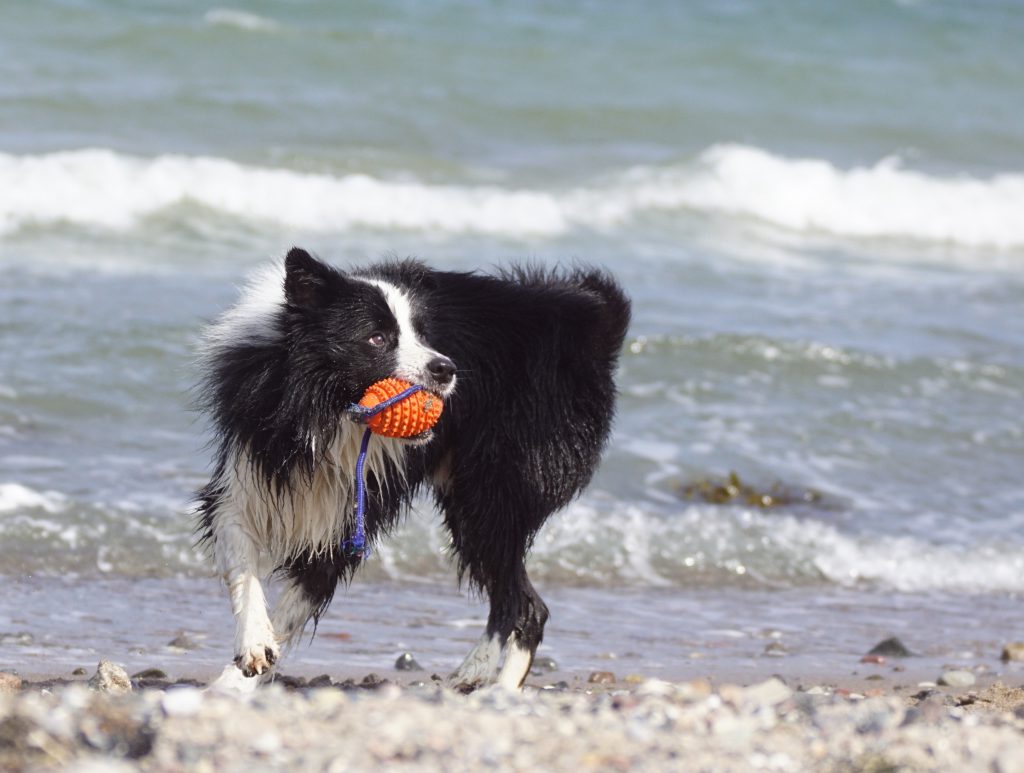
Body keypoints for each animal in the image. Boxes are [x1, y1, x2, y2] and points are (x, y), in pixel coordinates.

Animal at [194, 250, 626, 692]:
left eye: (423, 334)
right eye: (377, 338)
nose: (447, 369)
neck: (328, 414)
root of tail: (592, 317)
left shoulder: (350, 513)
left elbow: (297, 600)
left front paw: (237, 680)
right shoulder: (248, 474)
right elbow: (242, 563)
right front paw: (252, 650)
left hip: (494, 488)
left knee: (524, 603)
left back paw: (499, 689)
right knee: (513, 598)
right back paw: (474, 673)